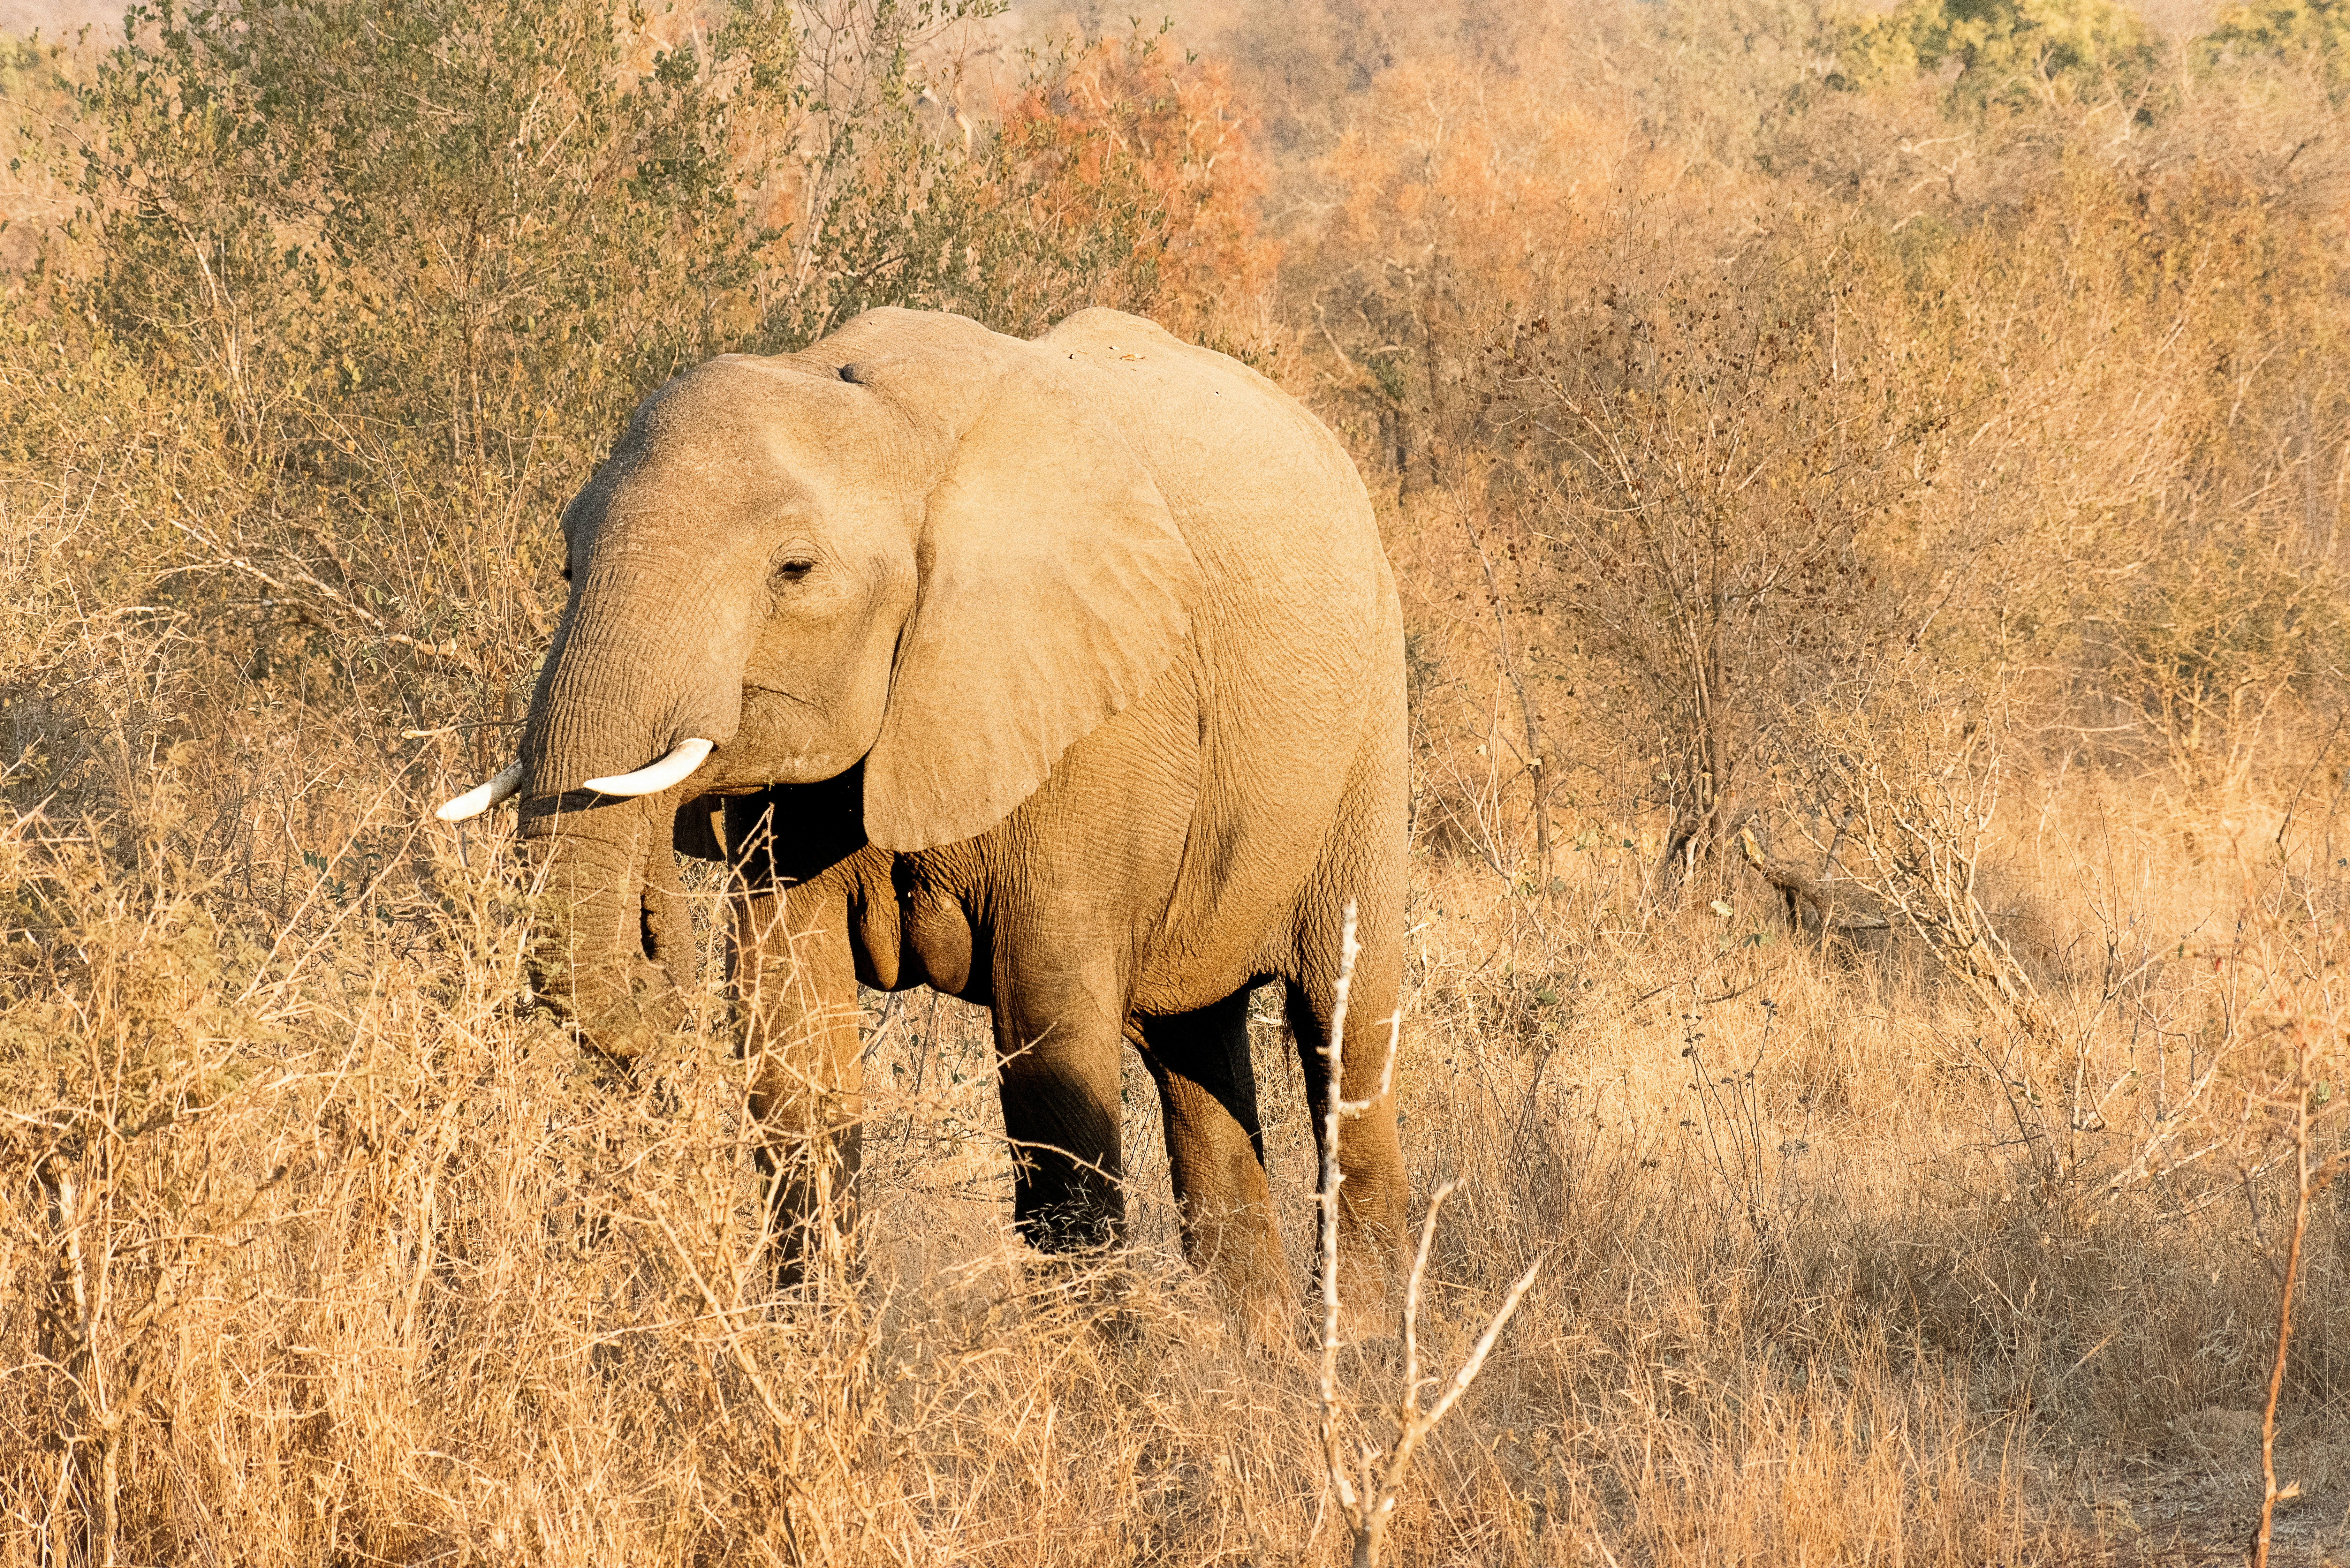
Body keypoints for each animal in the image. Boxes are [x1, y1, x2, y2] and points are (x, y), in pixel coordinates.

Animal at [438, 306, 1409, 1336]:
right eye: (567, 562)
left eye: (794, 570)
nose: (657, 969)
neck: (885, 420)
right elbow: (792, 1041)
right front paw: (820, 1355)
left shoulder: (1095, 721)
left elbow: (1052, 1065)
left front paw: (1106, 1376)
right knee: (1192, 1052)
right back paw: (1250, 1361)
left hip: (1369, 737)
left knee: (1343, 1041)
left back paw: (1353, 1355)